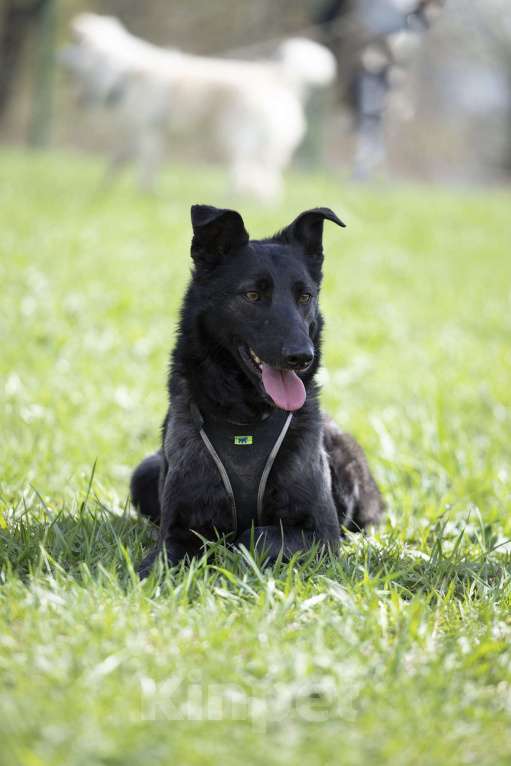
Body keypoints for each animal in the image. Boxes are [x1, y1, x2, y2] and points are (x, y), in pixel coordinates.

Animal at [63, 13, 336, 200]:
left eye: (74, 45)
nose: (60, 55)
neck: (122, 71)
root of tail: (277, 76)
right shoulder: (133, 135)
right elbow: (115, 166)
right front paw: (101, 193)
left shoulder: (149, 133)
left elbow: (146, 171)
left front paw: (144, 196)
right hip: (264, 148)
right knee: (268, 180)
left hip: (237, 139)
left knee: (247, 176)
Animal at [130, 204, 382, 576]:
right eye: (252, 295)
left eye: (305, 296)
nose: (302, 356)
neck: (244, 418)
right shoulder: (176, 529)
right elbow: (160, 559)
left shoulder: (321, 533)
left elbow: (255, 536)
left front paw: (230, 549)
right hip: (143, 473)